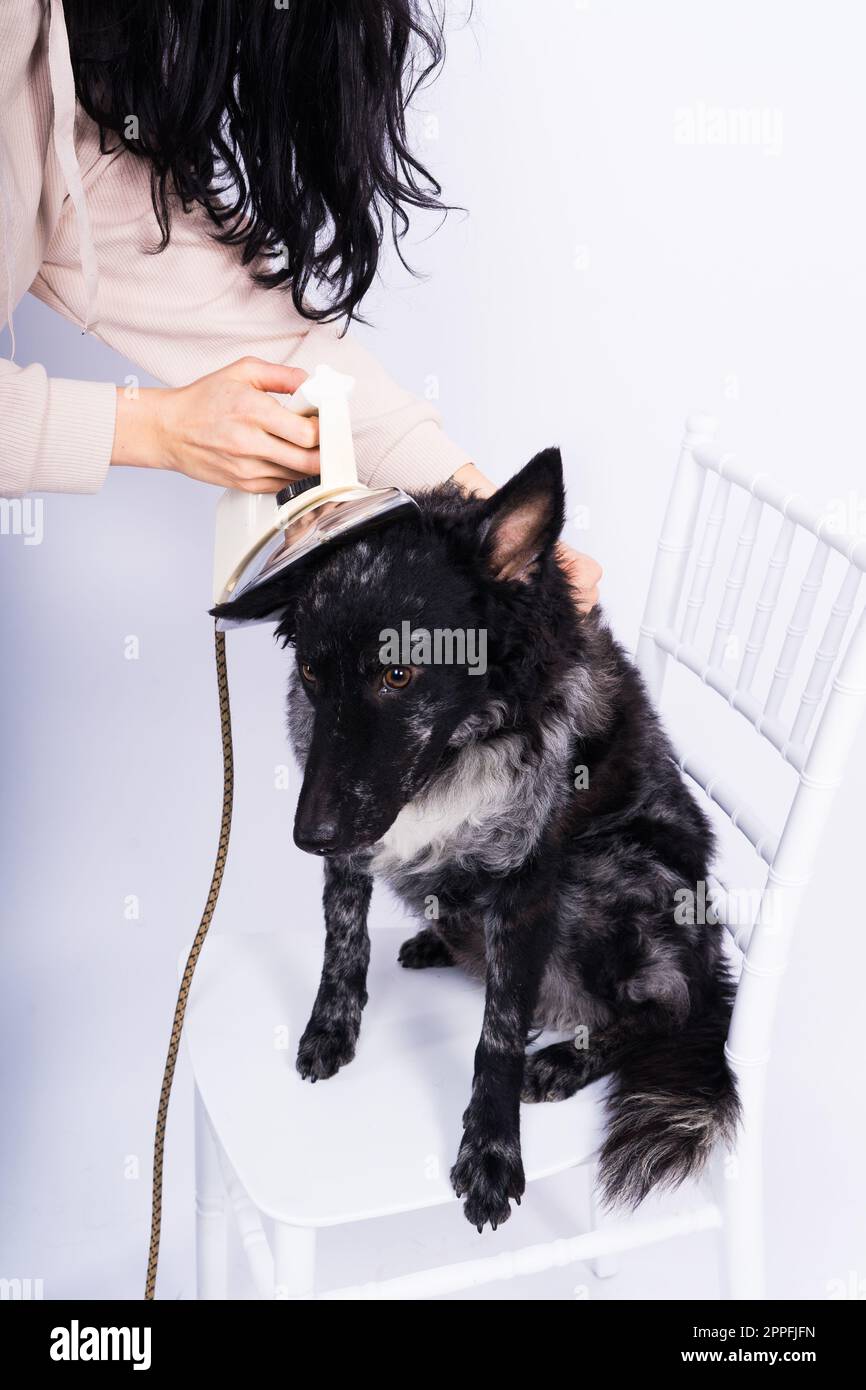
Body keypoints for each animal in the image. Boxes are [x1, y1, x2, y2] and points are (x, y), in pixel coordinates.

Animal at [216, 450, 739, 1234]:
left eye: (399, 673)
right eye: (311, 670)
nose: (310, 837)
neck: (458, 749)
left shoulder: (528, 884)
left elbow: (497, 1033)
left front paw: (491, 1153)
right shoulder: (355, 840)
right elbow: (344, 941)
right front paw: (332, 1028)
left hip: (613, 869)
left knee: (669, 1010)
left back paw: (565, 1059)